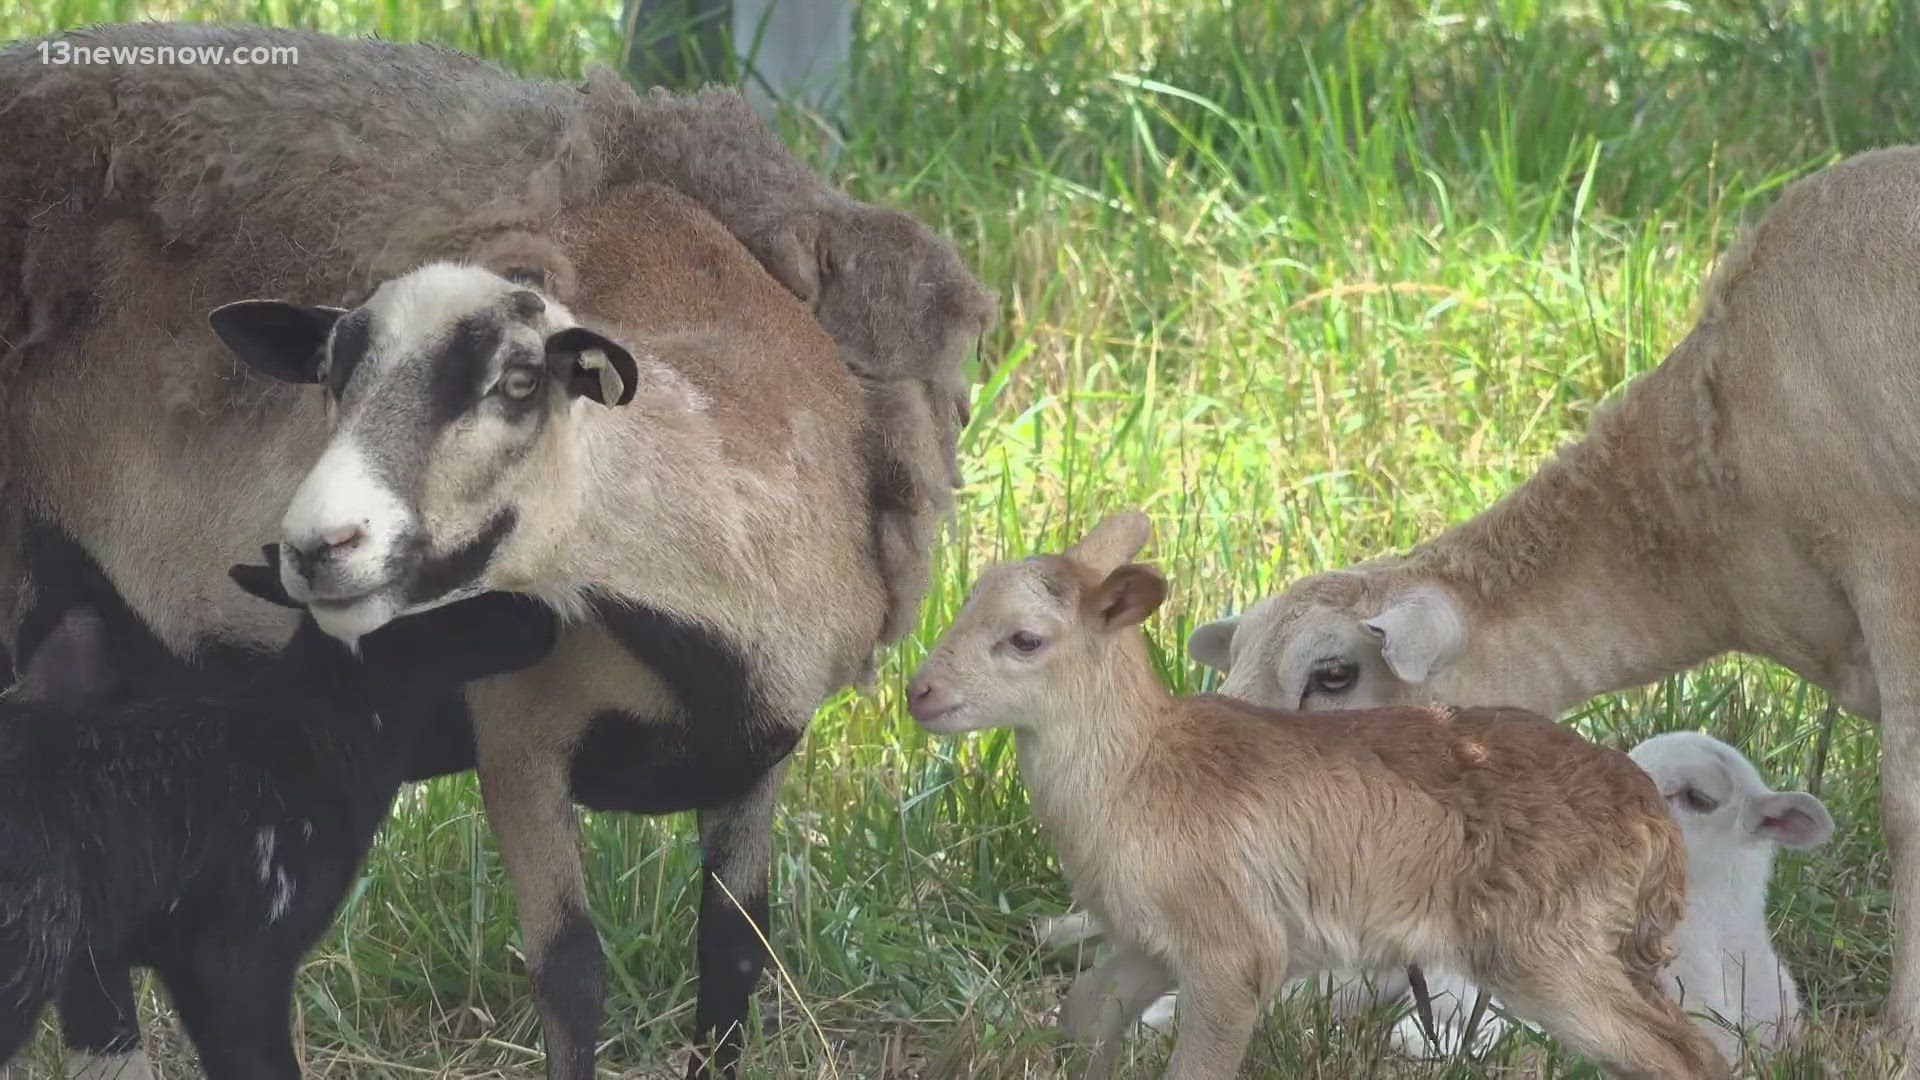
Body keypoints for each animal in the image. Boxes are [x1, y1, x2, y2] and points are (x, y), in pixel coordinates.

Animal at [906, 511, 1735, 1076]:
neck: (1138, 773)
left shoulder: (1235, 951)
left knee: (1680, 1055)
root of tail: (1649, 818)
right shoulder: (1149, 942)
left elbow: (1196, 1063)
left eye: (1024, 639)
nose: (919, 693)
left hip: (1548, 953)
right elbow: (1083, 1016)